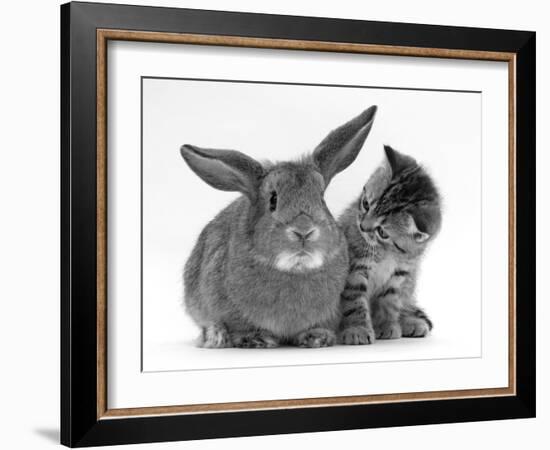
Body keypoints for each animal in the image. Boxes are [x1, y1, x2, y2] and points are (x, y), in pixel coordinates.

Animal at [181, 105, 380, 348]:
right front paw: (256, 338)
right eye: (273, 200)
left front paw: (317, 337)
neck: (296, 268)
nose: (303, 231)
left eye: (321, 198)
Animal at [338, 146, 442, 342]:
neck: (387, 252)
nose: (362, 227)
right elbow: (354, 299)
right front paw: (357, 329)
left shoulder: (401, 274)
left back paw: (411, 322)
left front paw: (387, 326)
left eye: (382, 232)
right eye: (365, 204)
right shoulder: (355, 268)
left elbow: (389, 301)